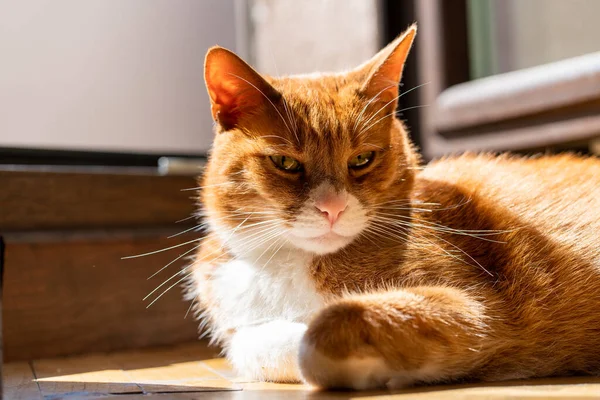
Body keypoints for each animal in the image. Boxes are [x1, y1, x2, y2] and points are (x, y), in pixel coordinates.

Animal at [186, 24, 600, 388]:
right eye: (285, 163)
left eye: (362, 159)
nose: (332, 208)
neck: (285, 262)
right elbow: (249, 344)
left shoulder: (474, 309)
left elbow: (326, 327)